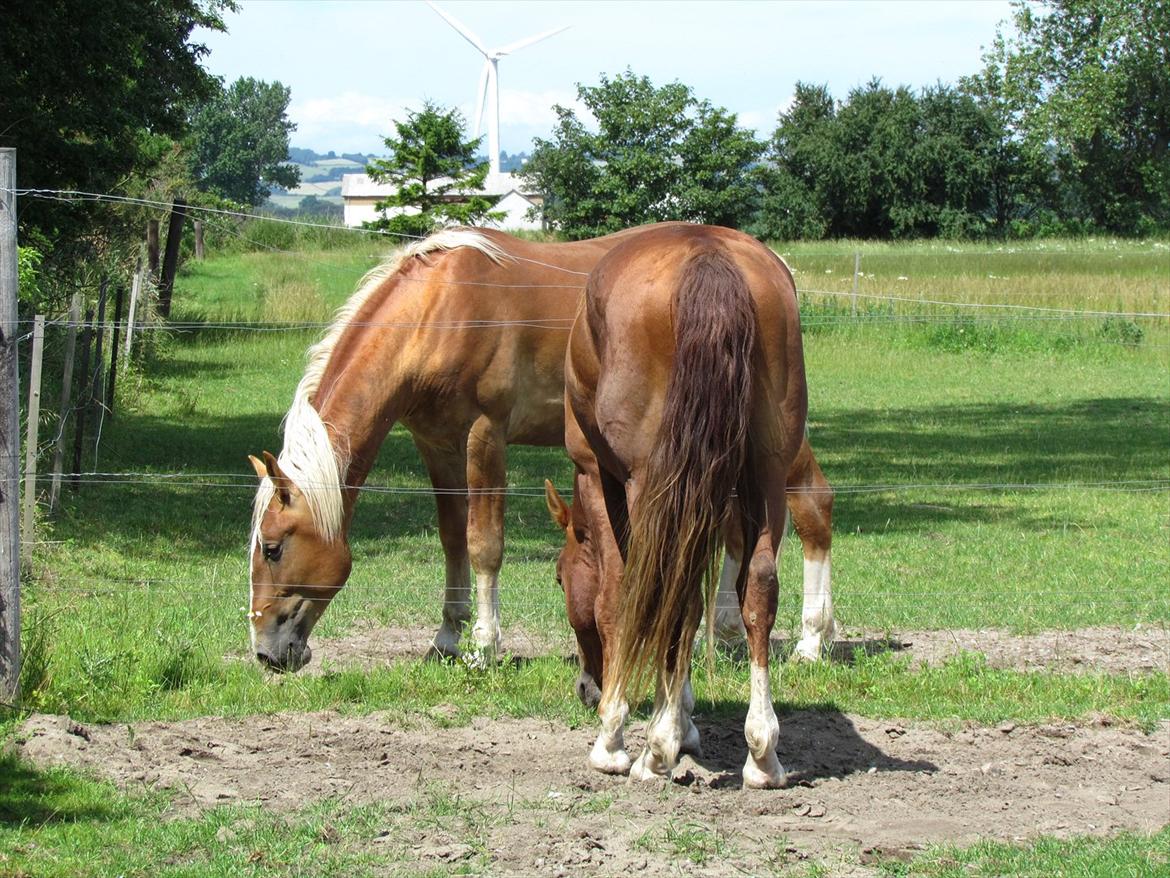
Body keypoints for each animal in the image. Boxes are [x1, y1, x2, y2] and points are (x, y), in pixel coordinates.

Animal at [246, 224, 837, 674]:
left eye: (273, 548)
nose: (266, 653)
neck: (440, 309)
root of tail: (766, 262)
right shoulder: (437, 444)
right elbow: (451, 538)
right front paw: (447, 637)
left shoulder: (484, 436)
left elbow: (484, 543)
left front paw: (485, 647)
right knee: (739, 524)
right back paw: (735, 631)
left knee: (811, 503)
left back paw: (811, 640)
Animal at [552, 223, 809, 786]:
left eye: (559, 578)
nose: (585, 688)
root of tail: (707, 254)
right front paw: (682, 719)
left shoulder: (598, 475)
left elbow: (618, 598)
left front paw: (619, 738)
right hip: (765, 477)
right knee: (757, 586)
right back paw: (762, 753)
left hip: (650, 486)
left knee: (659, 589)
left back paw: (651, 747)